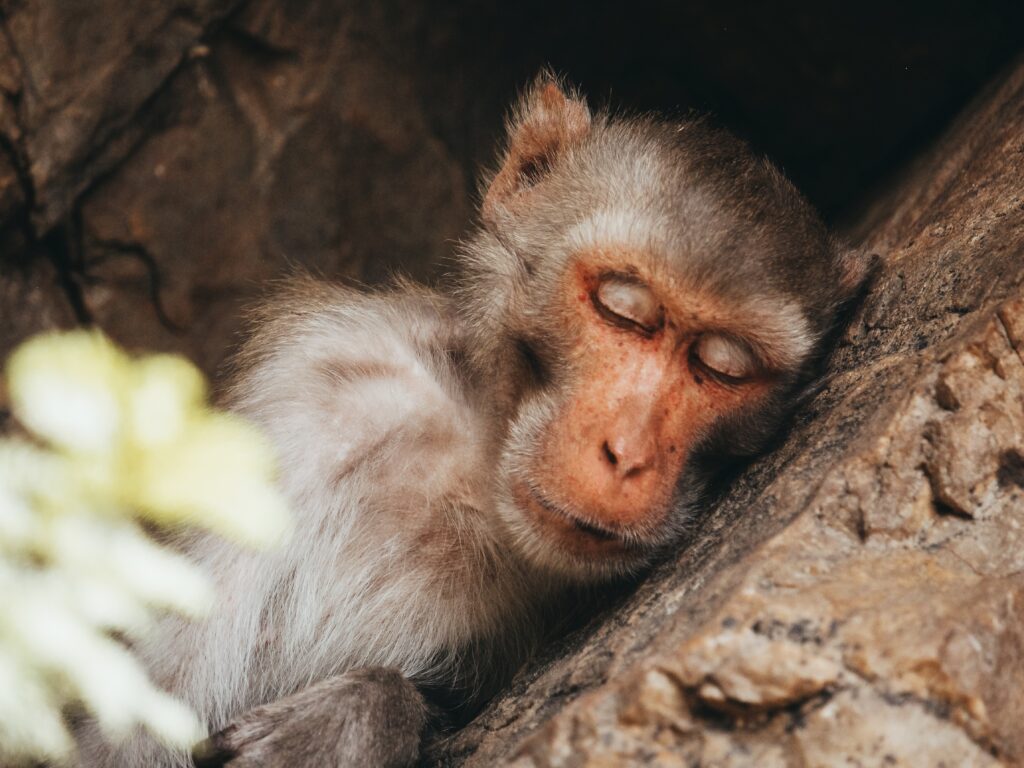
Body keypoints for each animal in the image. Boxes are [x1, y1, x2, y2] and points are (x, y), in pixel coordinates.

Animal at [74, 75, 866, 768]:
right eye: (622, 308)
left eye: (723, 366)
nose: (626, 452)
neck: (481, 459)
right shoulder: (320, 394)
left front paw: (363, 716)